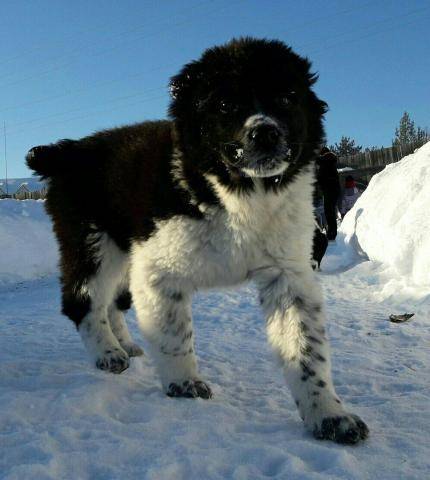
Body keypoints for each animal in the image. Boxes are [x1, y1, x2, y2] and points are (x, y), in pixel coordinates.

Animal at [27, 36, 370, 442]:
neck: (238, 194)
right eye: (224, 105)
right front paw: (184, 385)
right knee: (83, 300)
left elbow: (305, 347)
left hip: (121, 252)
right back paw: (107, 354)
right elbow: (173, 332)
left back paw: (124, 345)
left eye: (287, 97)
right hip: (92, 243)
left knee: (111, 302)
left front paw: (329, 414)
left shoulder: (287, 275)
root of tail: (67, 152)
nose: (265, 132)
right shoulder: (158, 270)